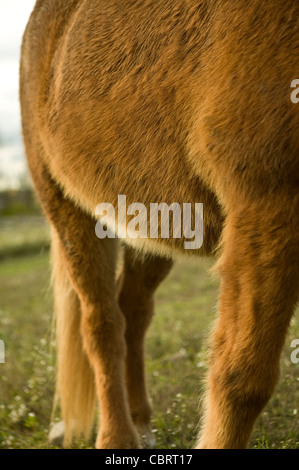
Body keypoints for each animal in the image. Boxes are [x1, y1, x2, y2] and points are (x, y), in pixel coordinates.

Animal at [19, 0, 298, 448]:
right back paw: (118, 437)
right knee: (101, 324)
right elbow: (243, 375)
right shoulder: (267, 200)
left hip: (152, 217)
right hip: (67, 209)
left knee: (132, 311)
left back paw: (141, 422)